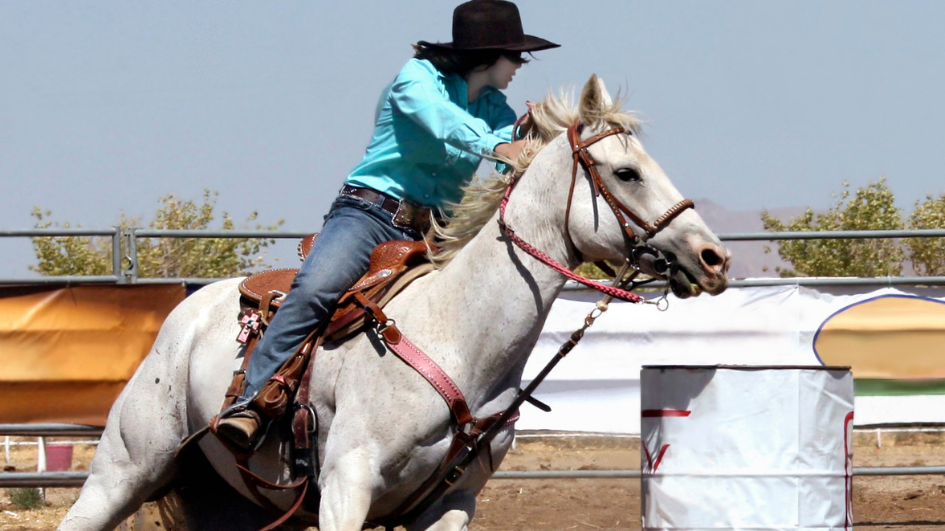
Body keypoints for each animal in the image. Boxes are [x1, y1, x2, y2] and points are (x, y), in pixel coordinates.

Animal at [59, 78, 732, 531]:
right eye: (625, 173)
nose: (713, 257)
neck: (456, 336)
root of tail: (188, 311)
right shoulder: (345, 487)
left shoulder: (452, 502)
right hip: (124, 468)